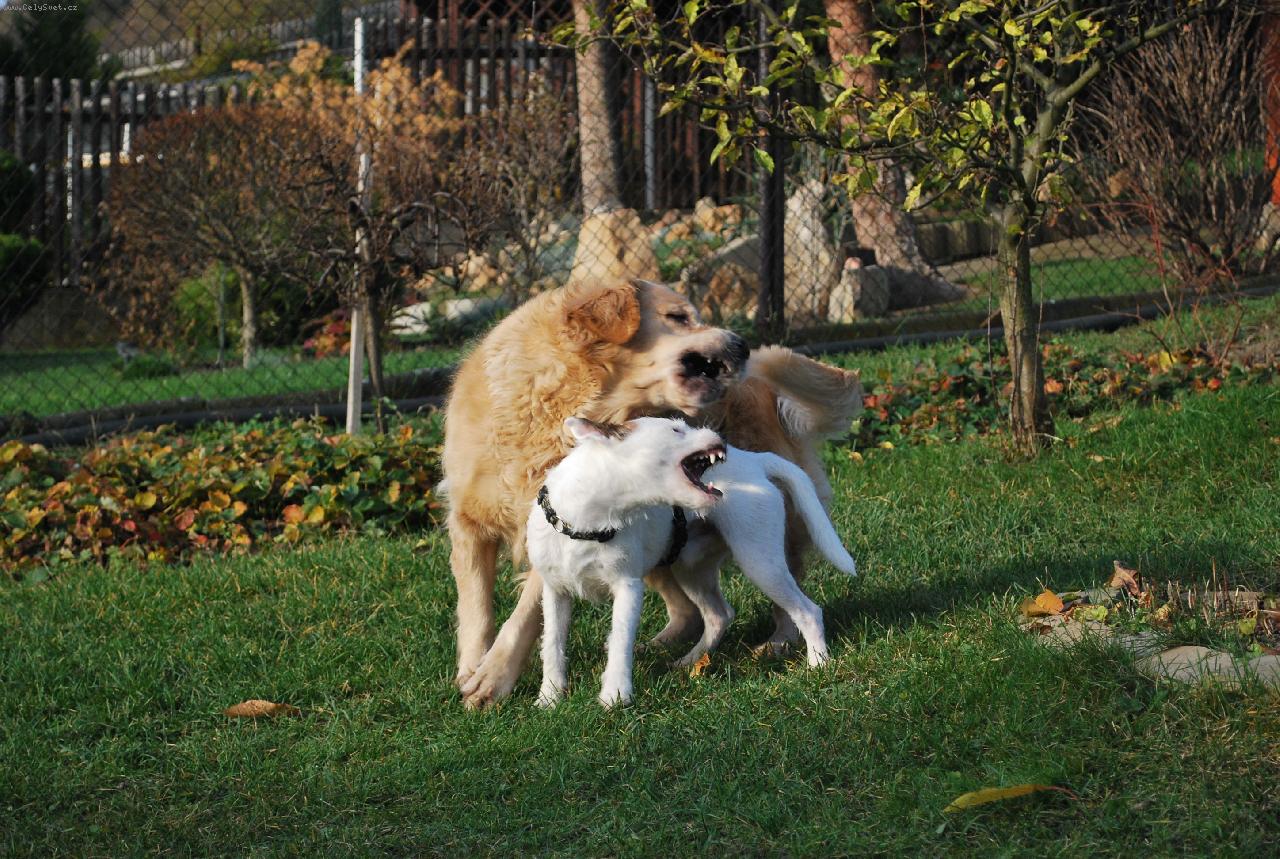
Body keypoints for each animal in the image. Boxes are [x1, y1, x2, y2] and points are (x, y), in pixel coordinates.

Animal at [443, 276, 862, 708]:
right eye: (678, 316)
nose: (743, 344)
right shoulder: (469, 524)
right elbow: (477, 610)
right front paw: (474, 669)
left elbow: (523, 618)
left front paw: (493, 677)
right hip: (680, 558)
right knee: (700, 612)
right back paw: (677, 653)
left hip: (761, 552)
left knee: (797, 596)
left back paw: (787, 645)